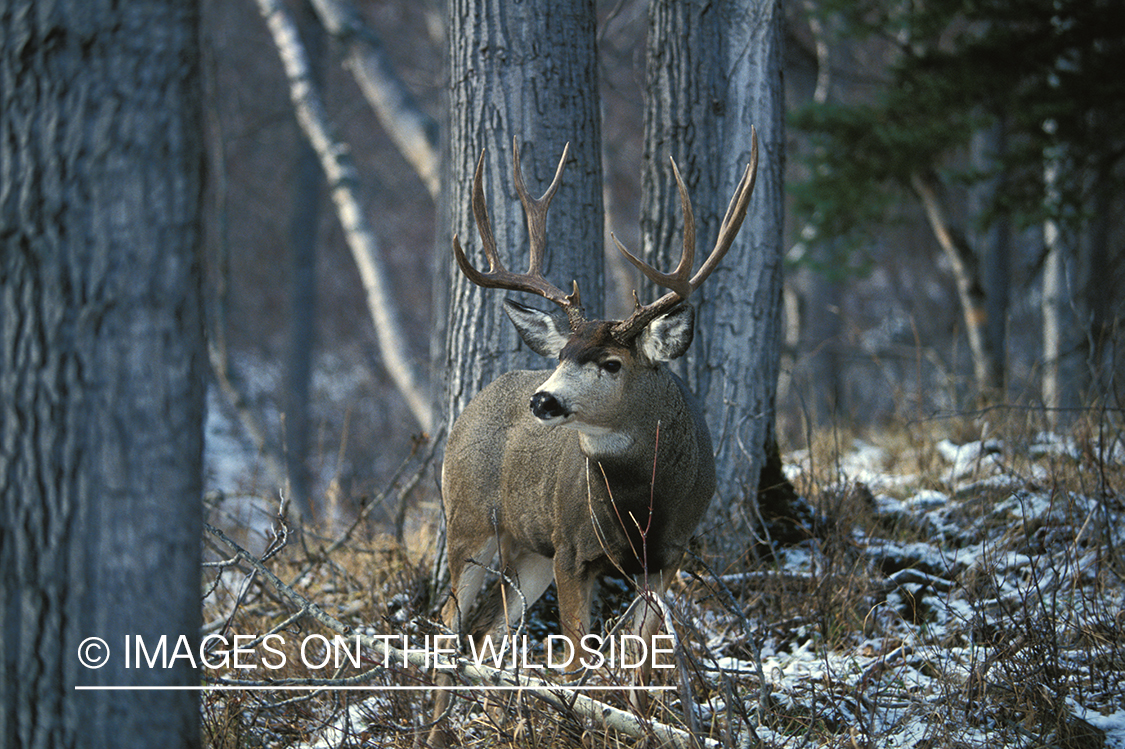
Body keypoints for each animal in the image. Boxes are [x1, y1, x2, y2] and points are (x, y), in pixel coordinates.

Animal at [430, 130, 758, 742]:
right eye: (561, 355)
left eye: (610, 363)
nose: (544, 400)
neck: (638, 501)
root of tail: (472, 406)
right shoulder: (570, 548)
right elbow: (577, 660)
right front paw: (578, 722)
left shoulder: (668, 555)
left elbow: (640, 665)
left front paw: (642, 724)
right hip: (469, 520)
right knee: (448, 624)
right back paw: (435, 732)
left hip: (525, 549)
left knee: (488, 631)